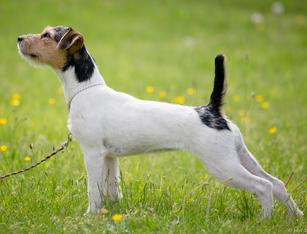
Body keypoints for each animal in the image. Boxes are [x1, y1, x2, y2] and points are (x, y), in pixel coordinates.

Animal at [18, 26, 304, 218]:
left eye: (46, 35)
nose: (19, 38)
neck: (86, 88)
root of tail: (211, 111)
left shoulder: (92, 153)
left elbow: (94, 191)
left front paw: (90, 216)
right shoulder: (110, 157)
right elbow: (111, 189)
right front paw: (111, 213)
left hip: (223, 165)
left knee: (263, 187)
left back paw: (264, 220)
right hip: (240, 155)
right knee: (277, 184)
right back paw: (294, 218)